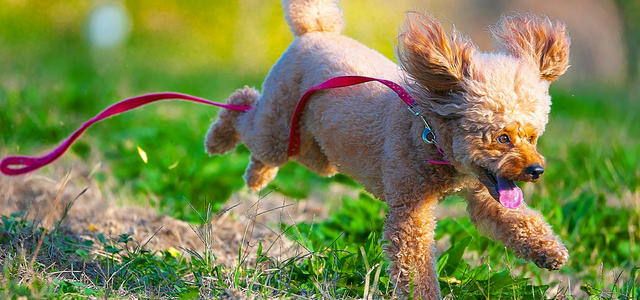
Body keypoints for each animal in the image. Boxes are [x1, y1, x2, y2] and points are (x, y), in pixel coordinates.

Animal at [205, 0, 568, 296]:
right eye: (502, 138)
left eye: (532, 137)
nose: (536, 171)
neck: (428, 132)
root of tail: (316, 31)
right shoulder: (410, 211)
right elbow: (416, 266)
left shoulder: (483, 190)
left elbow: (512, 217)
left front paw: (549, 251)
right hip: (279, 129)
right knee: (244, 106)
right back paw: (219, 141)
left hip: (318, 150)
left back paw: (256, 176)